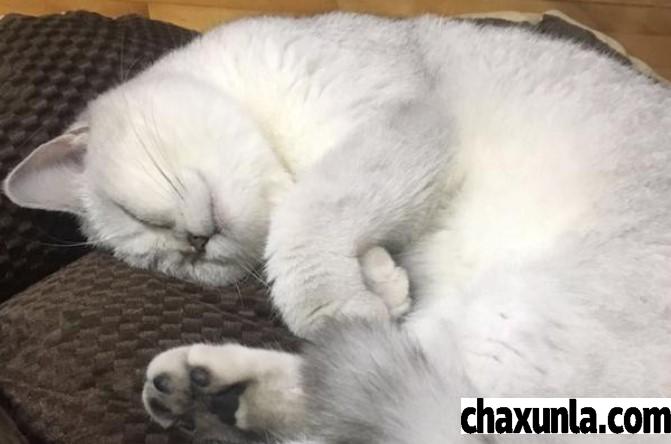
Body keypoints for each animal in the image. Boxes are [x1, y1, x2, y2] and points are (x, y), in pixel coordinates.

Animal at [4, 12, 671, 443]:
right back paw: (206, 397)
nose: (194, 246)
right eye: (173, 265)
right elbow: (318, 230)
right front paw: (381, 283)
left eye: (137, 217)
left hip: (513, 322)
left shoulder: (396, 127)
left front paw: (344, 296)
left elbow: (307, 218)